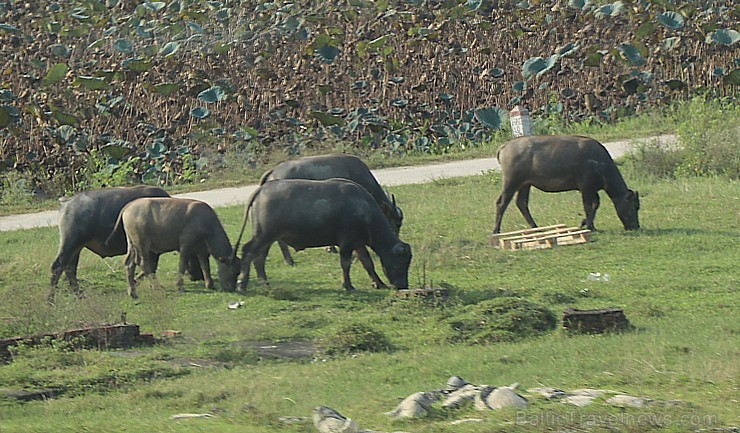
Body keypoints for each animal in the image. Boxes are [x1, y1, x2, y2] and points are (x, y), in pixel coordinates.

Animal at [107, 198, 237, 296]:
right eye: (232, 271)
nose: (232, 288)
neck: (206, 221)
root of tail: (128, 206)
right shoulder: (185, 245)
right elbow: (182, 264)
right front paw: (180, 286)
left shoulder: (202, 250)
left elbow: (205, 266)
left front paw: (210, 285)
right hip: (141, 243)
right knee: (143, 262)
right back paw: (156, 286)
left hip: (133, 244)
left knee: (130, 263)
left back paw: (132, 291)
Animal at [236, 177, 414, 292]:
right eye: (400, 262)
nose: (403, 285)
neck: (365, 210)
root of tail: (260, 190)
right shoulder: (346, 242)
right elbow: (345, 263)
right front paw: (348, 286)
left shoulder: (358, 243)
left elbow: (367, 263)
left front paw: (379, 283)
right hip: (263, 235)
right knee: (248, 251)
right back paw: (242, 284)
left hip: (268, 238)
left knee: (259, 258)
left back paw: (265, 284)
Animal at [492, 135, 640, 233]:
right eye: (633, 207)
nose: (636, 226)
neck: (599, 163)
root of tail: (505, 146)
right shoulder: (586, 188)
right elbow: (588, 206)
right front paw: (590, 226)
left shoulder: (592, 189)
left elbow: (595, 204)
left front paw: (585, 223)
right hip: (511, 182)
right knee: (502, 203)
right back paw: (496, 231)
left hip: (525, 184)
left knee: (521, 203)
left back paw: (535, 227)